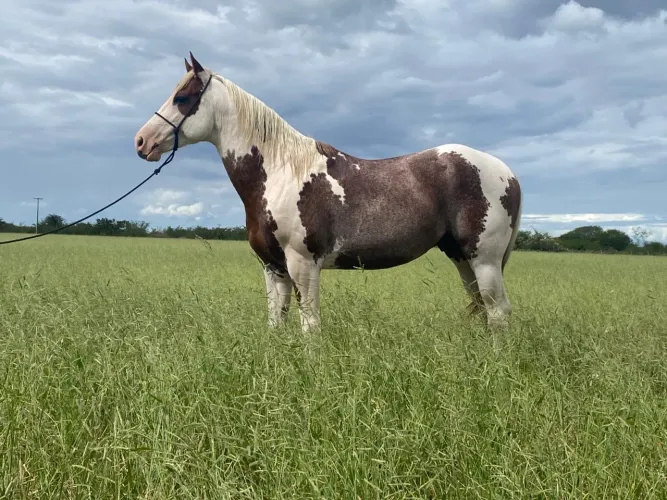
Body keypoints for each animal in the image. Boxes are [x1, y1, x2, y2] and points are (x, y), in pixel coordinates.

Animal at [134, 53, 523, 333]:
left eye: (182, 98)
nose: (141, 142)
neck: (278, 173)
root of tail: (507, 172)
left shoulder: (303, 265)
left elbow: (310, 326)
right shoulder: (273, 268)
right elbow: (276, 324)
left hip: (484, 260)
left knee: (499, 312)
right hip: (461, 257)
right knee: (484, 309)